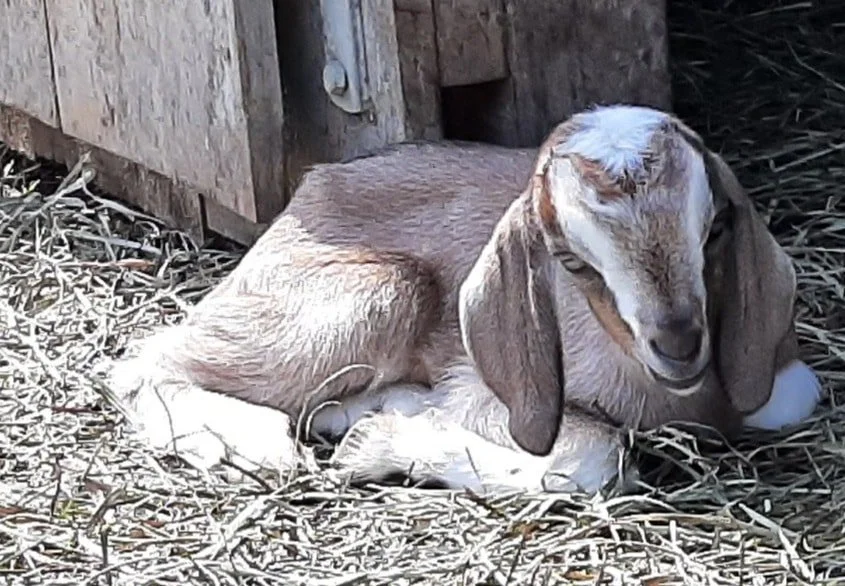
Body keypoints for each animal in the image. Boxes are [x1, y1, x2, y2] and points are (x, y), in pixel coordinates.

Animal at [107, 104, 822, 494]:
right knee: (144, 364)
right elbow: (593, 455)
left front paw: (380, 428)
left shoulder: (783, 382)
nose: (678, 344)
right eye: (570, 260)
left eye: (715, 229)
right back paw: (254, 448)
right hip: (368, 295)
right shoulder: (492, 392)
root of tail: (309, 189)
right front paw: (377, 445)